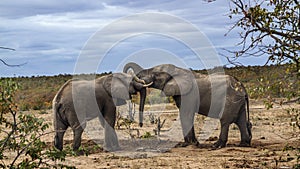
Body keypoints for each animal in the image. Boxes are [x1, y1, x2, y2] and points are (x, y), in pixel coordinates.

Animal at [123, 62, 252, 149]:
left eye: (155, 74)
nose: (140, 125)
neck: (177, 70)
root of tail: (243, 88)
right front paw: (194, 143)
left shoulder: (188, 95)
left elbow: (185, 114)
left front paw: (185, 144)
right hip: (238, 102)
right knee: (240, 121)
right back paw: (244, 144)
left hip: (230, 101)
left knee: (225, 121)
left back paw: (216, 146)